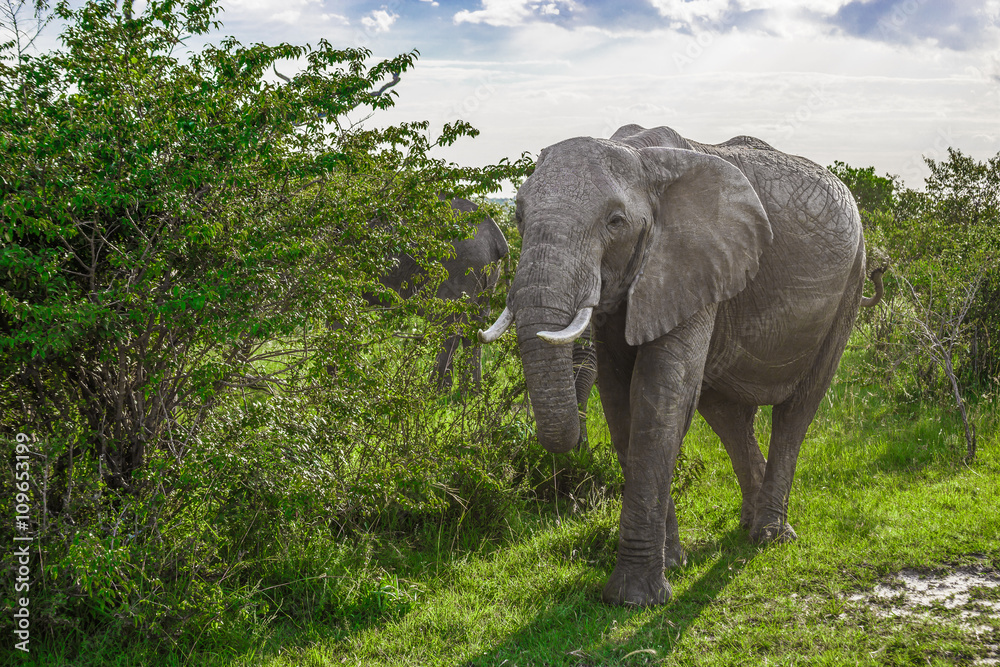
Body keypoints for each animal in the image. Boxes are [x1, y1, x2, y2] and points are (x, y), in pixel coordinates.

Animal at [373, 197, 508, 389]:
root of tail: (499, 239)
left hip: (460, 268)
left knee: (449, 326)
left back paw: (434, 391)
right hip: (487, 275)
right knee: (474, 327)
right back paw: (470, 393)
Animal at [479, 124, 882, 607]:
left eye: (615, 222)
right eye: (519, 216)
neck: (639, 156)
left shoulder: (691, 260)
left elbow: (657, 396)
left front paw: (635, 599)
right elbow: (622, 403)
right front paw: (672, 564)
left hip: (851, 284)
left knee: (797, 411)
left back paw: (769, 535)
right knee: (726, 415)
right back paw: (748, 525)